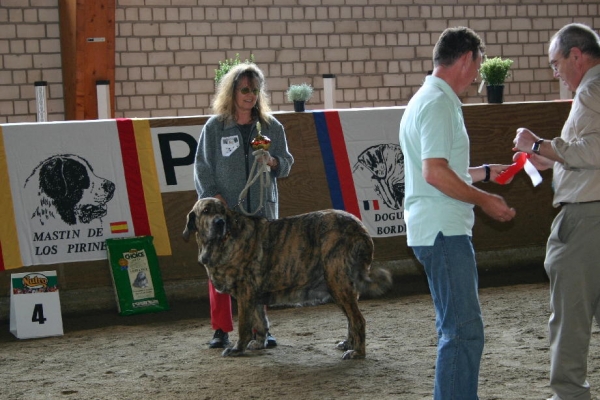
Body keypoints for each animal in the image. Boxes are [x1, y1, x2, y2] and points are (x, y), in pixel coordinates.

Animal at [183, 197, 394, 360]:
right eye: (206, 211)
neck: (224, 240)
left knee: (358, 320)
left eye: (222, 212)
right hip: (341, 286)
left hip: (338, 282)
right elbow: (260, 321)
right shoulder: (254, 296)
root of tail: (360, 227)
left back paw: (357, 352)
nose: (219, 222)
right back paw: (349, 344)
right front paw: (259, 342)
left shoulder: (245, 292)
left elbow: (244, 326)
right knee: (351, 319)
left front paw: (237, 349)